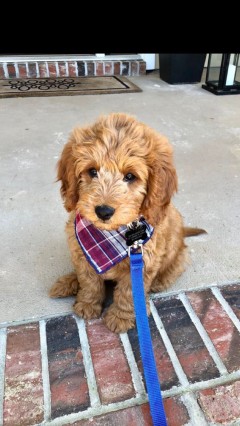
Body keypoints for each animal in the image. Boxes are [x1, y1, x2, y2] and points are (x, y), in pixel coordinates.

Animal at [49, 112, 205, 332]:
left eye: (130, 176)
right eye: (92, 171)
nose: (103, 211)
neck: (109, 235)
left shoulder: (143, 262)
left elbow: (129, 292)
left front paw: (121, 317)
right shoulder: (80, 252)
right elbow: (88, 280)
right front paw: (88, 304)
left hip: (177, 257)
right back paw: (67, 282)